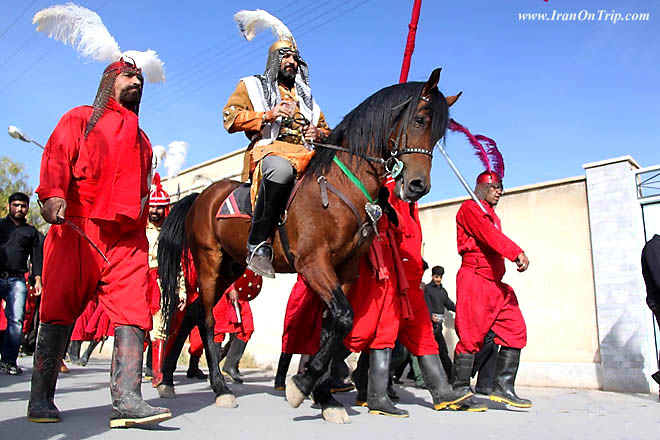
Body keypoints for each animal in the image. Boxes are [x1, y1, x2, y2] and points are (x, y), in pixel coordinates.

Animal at [157, 68, 452, 420]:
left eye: (440, 133)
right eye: (420, 120)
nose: (419, 185)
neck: (341, 186)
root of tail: (201, 197)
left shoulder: (345, 270)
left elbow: (334, 325)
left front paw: (325, 396)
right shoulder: (313, 264)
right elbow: (343, 317)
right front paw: (302, 385)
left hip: (231, 266)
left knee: (191, 312)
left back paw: (167, 380)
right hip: (209, 262)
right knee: (206, 319)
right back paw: (220, 387)